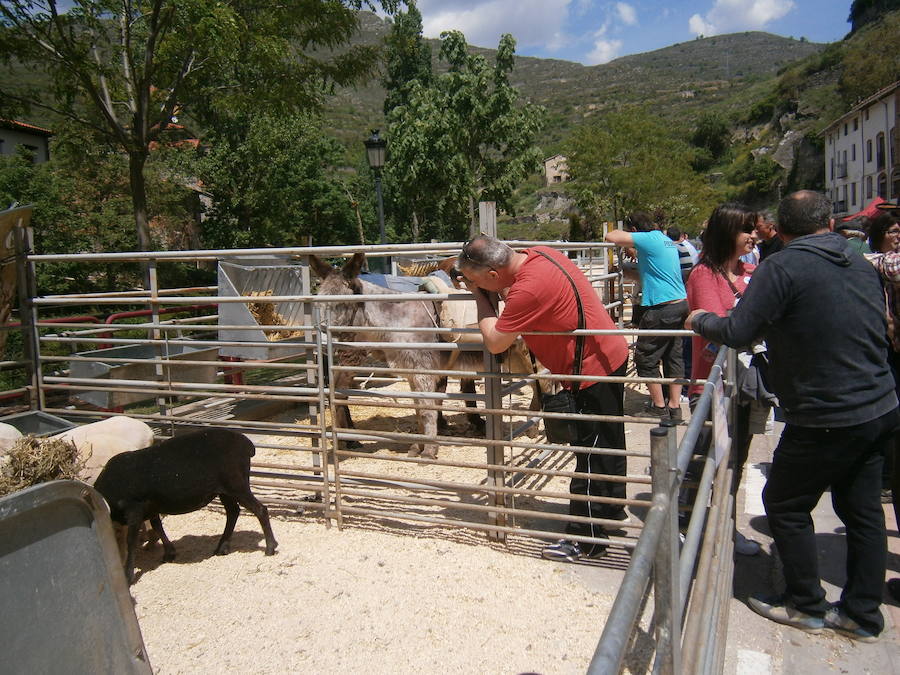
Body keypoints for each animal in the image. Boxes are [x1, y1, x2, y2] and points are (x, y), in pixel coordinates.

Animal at [93, 430, 278, 584]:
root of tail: (246, 444)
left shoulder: (135, 508)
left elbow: (131, 541)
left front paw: (128, 576)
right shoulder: (152, 505)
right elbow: (157, 526)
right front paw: (169, 553)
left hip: (235, 483)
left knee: (260, 510)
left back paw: (270, 547)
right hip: (223, 489)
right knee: (233, 512)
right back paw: (222, 547)